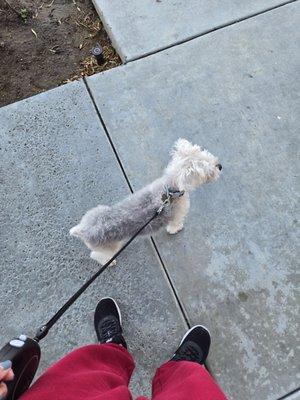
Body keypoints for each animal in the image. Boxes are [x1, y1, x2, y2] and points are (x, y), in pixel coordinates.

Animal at [69, 139, 220, 268]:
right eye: (205, 170)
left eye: (204, 152)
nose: (219, 166)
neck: (170, 189)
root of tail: (83, 230)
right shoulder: (177, 216)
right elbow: (175, 226)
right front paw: (176, 229)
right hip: (110, 248)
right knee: (96, 255)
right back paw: (109, 262)